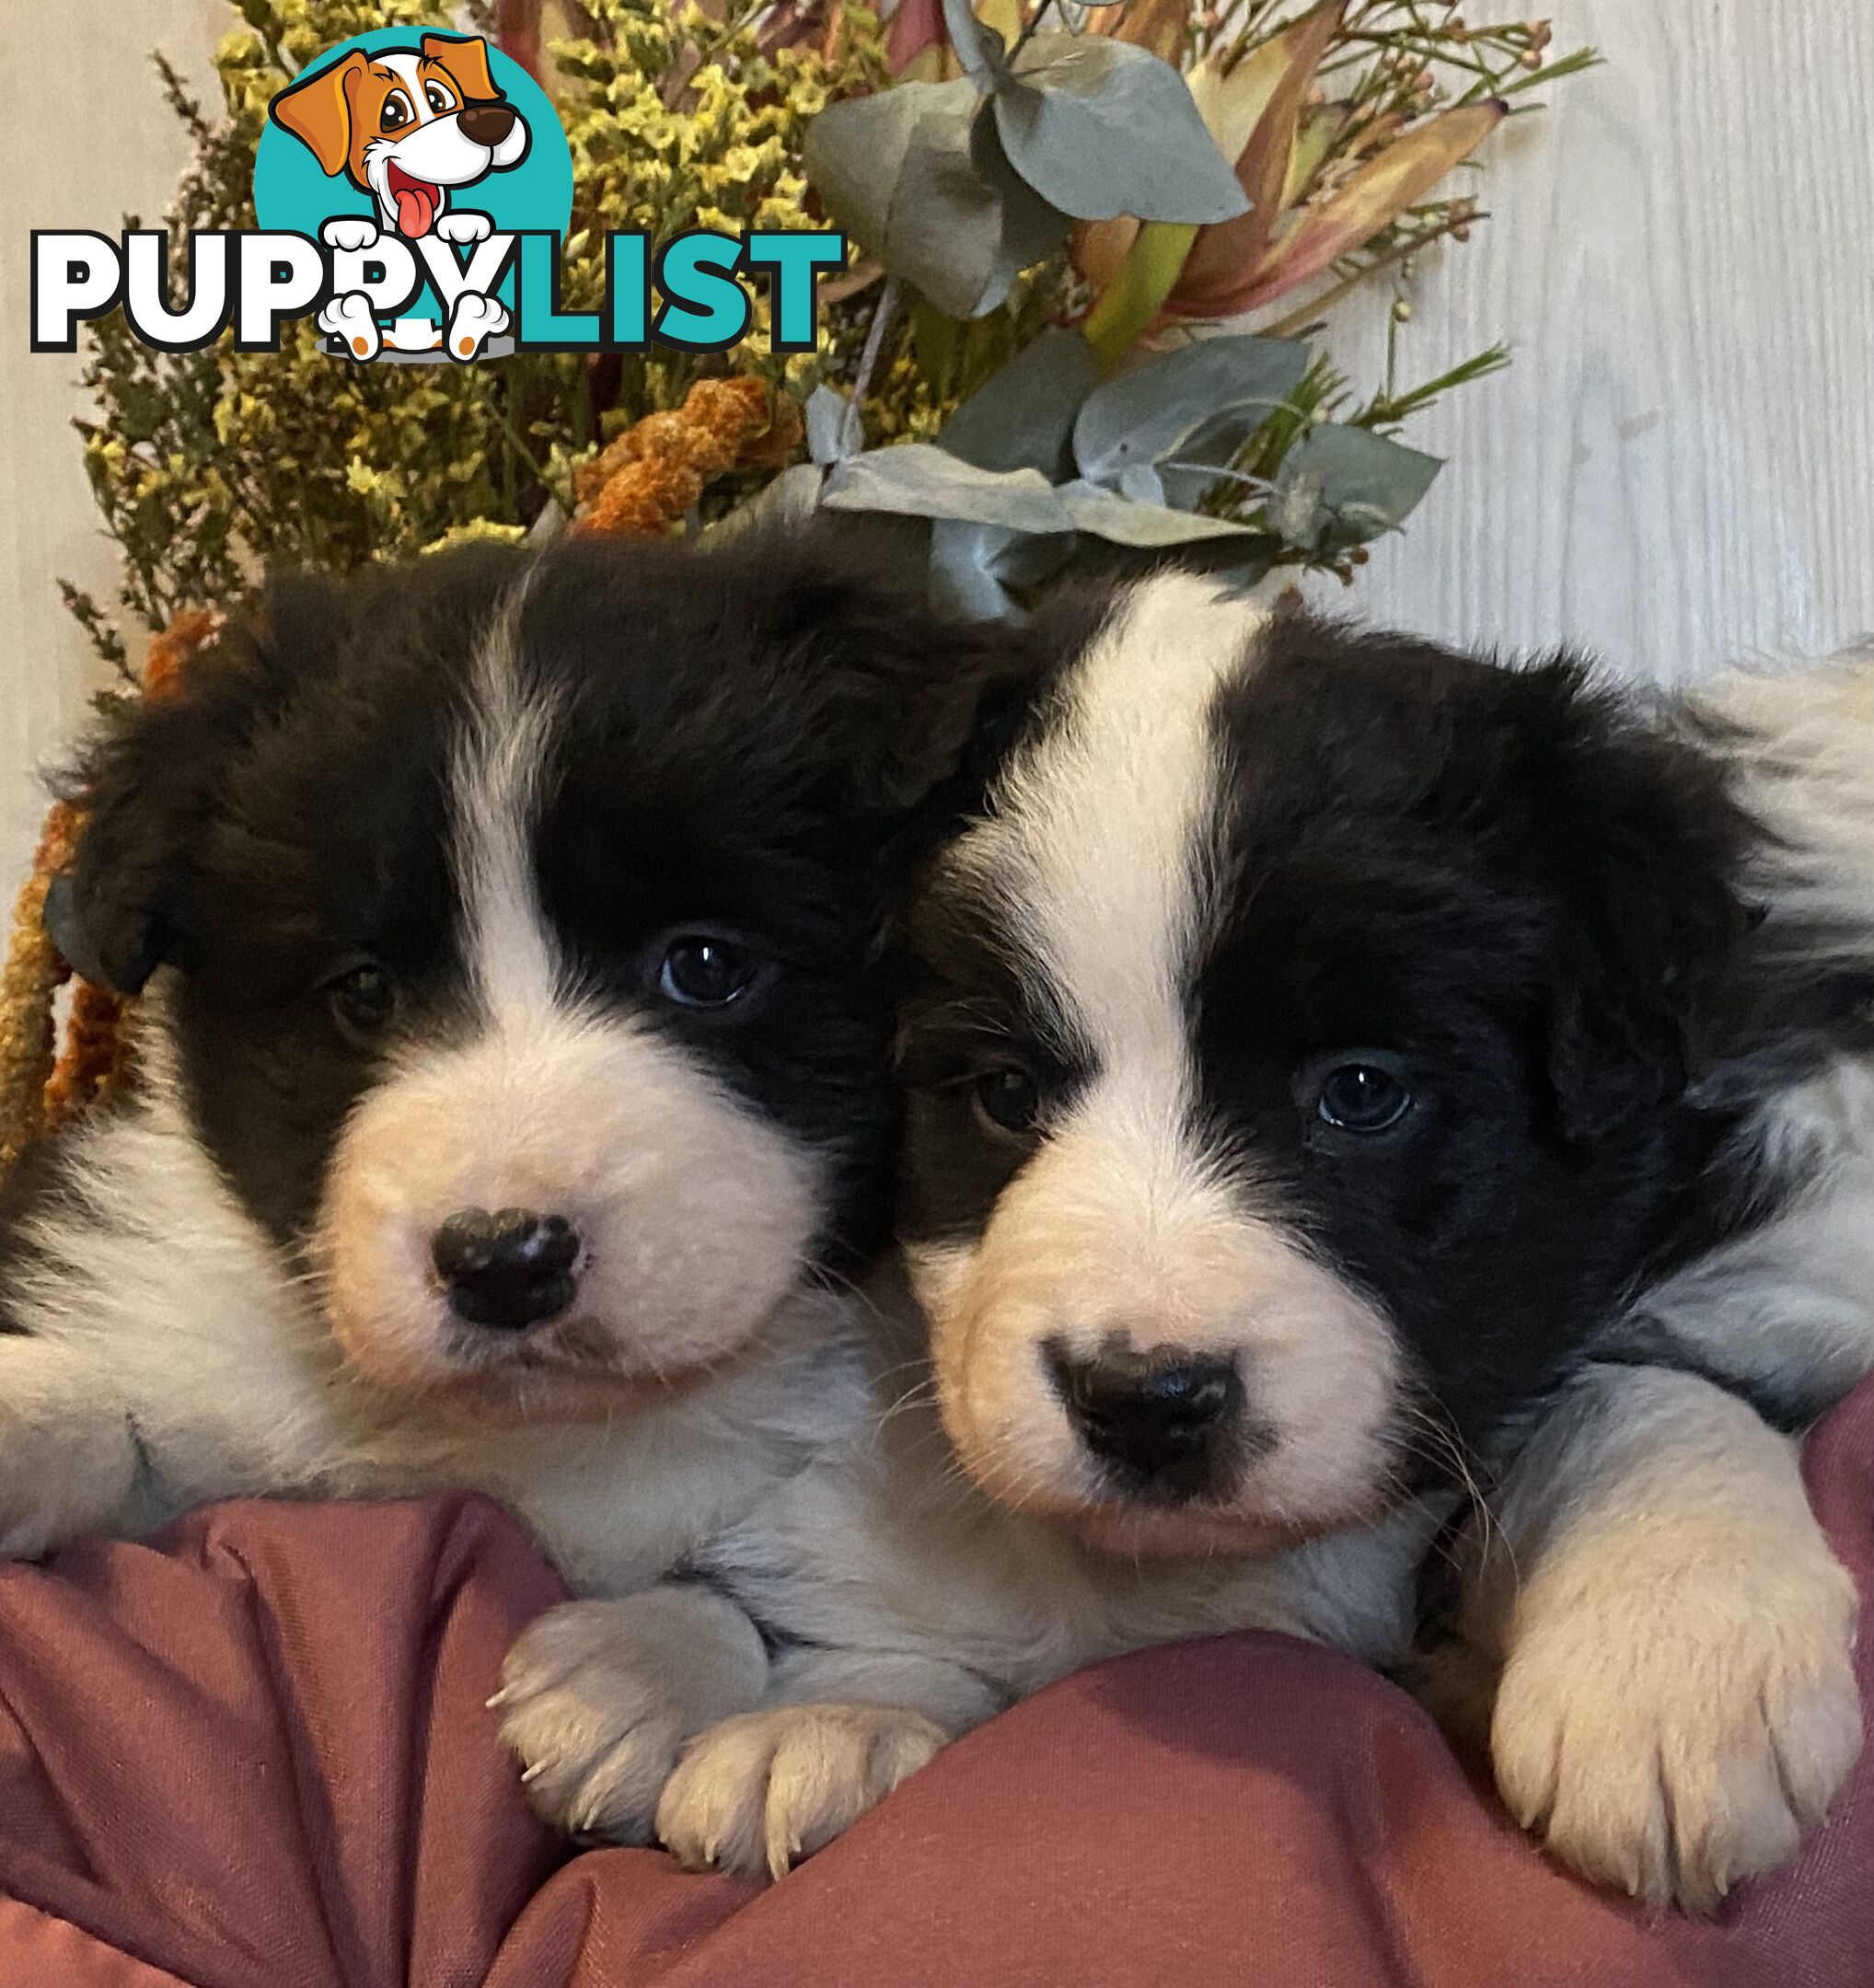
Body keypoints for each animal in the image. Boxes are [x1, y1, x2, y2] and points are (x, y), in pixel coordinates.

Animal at [503, 576, 1874, 1908]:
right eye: (1004, 1094)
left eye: (1362, 1093)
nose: (1143, 1401)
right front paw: (818, 1705)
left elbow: (1642, 1388)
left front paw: (1669, 1666)